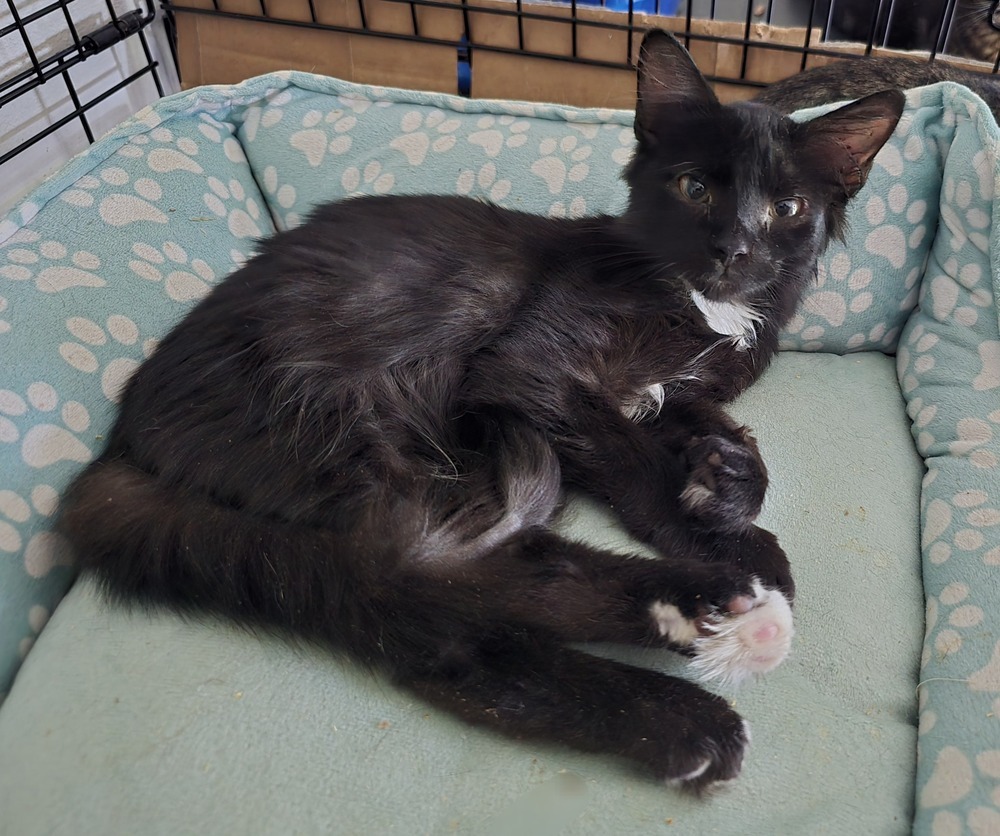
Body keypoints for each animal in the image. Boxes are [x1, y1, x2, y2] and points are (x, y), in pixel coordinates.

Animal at [60, 31, 908, 792]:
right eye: (695, 188)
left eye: (787, 207)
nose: (733, 249)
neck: (702, 306)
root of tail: (122, 445)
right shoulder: (526, 370)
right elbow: (625, 452)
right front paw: (709, 526)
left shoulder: (683, 393)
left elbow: (716, 436)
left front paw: (727, 486)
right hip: (339, 422)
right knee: (431, 574)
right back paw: (712, 629)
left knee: (445, 630)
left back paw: (698, 676)